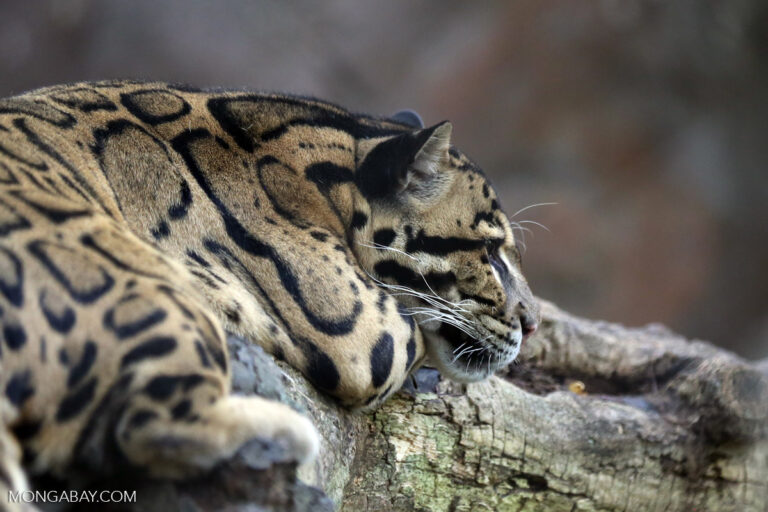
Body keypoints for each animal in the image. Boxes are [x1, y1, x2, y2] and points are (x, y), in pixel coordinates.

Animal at [0, 82, 540, 506]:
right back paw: (286, 434)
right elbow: (412, 340)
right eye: (491, 252)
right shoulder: (362, 328)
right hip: (148, 289)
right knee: (144, 426)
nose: (533, 324)